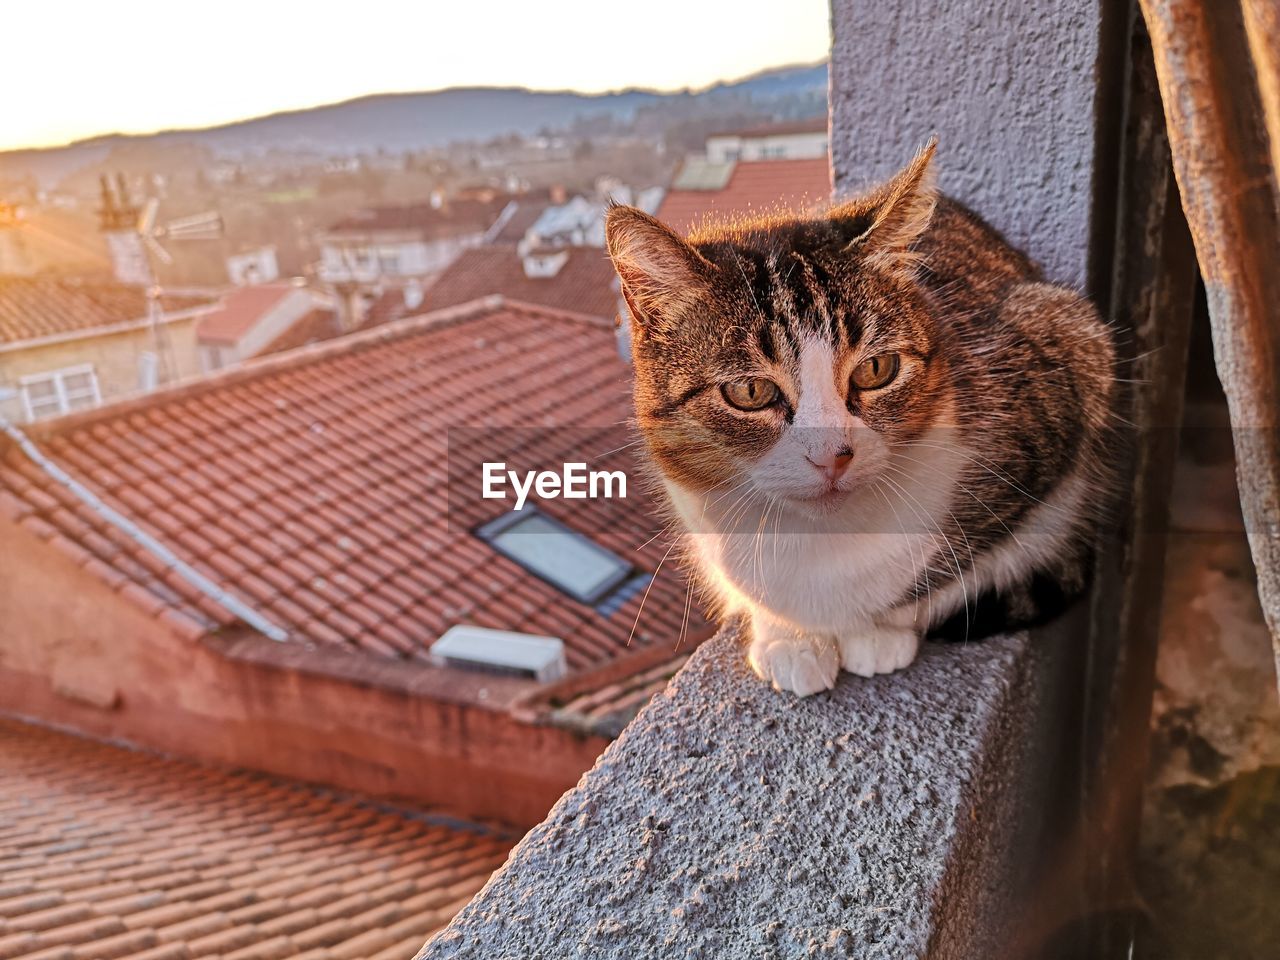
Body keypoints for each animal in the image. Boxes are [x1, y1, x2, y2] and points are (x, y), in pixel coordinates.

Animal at [604, 140, 1116, 701]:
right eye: (751, 392)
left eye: (876, 369)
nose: (833, 455)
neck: (819, 540)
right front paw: (789, 638)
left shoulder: (1060, 369)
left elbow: (943, 574)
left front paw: (875, 630)